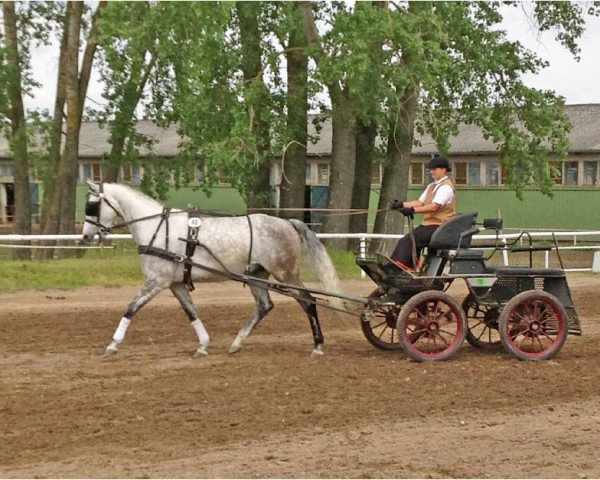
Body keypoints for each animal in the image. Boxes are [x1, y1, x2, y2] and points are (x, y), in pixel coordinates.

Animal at [81, 180, 342, 356]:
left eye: (92, 206)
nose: (85, 236)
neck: (157, 228)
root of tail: (287, 222)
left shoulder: (157, 281)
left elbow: (131, 308)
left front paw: (113, 343)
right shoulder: (175, 284)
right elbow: (191, 312)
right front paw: (203, 345)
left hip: (286, 272)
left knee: (309, 301)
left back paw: (318, 345)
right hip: (257, 275)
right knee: (265, 305)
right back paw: (237, 342)